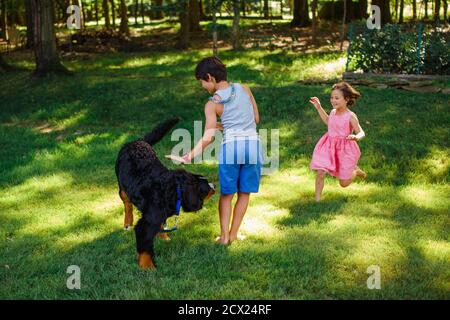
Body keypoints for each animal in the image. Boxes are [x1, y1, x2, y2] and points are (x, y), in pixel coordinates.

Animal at [115, 117, 215, 268]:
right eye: (206, 188)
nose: (214, 186)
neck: (174, 189)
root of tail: (138, 141)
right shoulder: (147, 223)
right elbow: (145, 248)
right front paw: (148, 267)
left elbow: (161, 224)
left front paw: (163, 236)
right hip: (122, 186)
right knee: (127, 203)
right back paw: (127, 222)